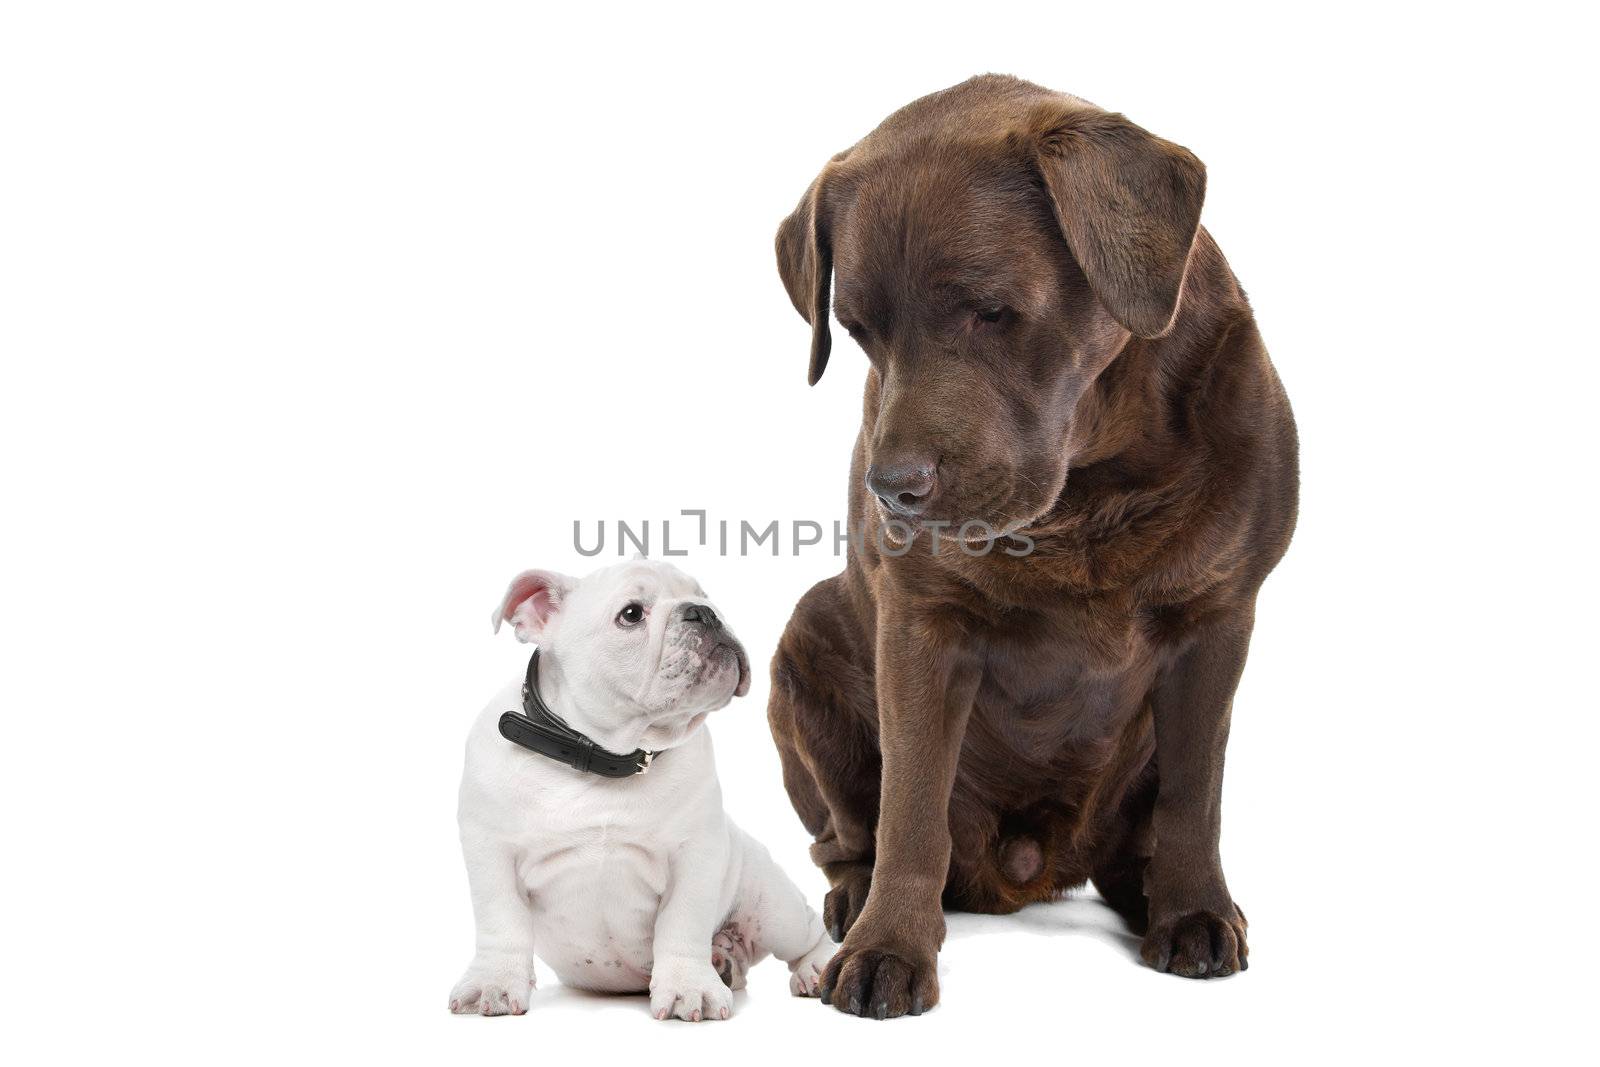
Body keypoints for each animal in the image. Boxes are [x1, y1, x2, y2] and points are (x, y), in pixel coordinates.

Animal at [444, 556, 832, 1023]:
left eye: (703, 594)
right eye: (631, 614)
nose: (704, 612)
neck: (605, 758)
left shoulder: (696, 854)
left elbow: (682, 922)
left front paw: (689, 987)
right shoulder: (491, 852)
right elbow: (500, 920)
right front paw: (494, 982)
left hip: (770, 903)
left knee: (808, 930)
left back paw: (816, 967)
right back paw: (722, 960)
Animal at [764, 75, 1299, 1017]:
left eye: (990, 311)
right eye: (858, 329)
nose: (892, 487)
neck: (1091, 487)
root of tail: (1026, 871)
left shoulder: (1219, 618)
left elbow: (1195, 793)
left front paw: (1195, 910)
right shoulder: (922, 623)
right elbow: (911, 805)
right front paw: (888, 946)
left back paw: (1150, 889)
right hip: (805, 636)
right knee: (850, 830)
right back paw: (854, 897)